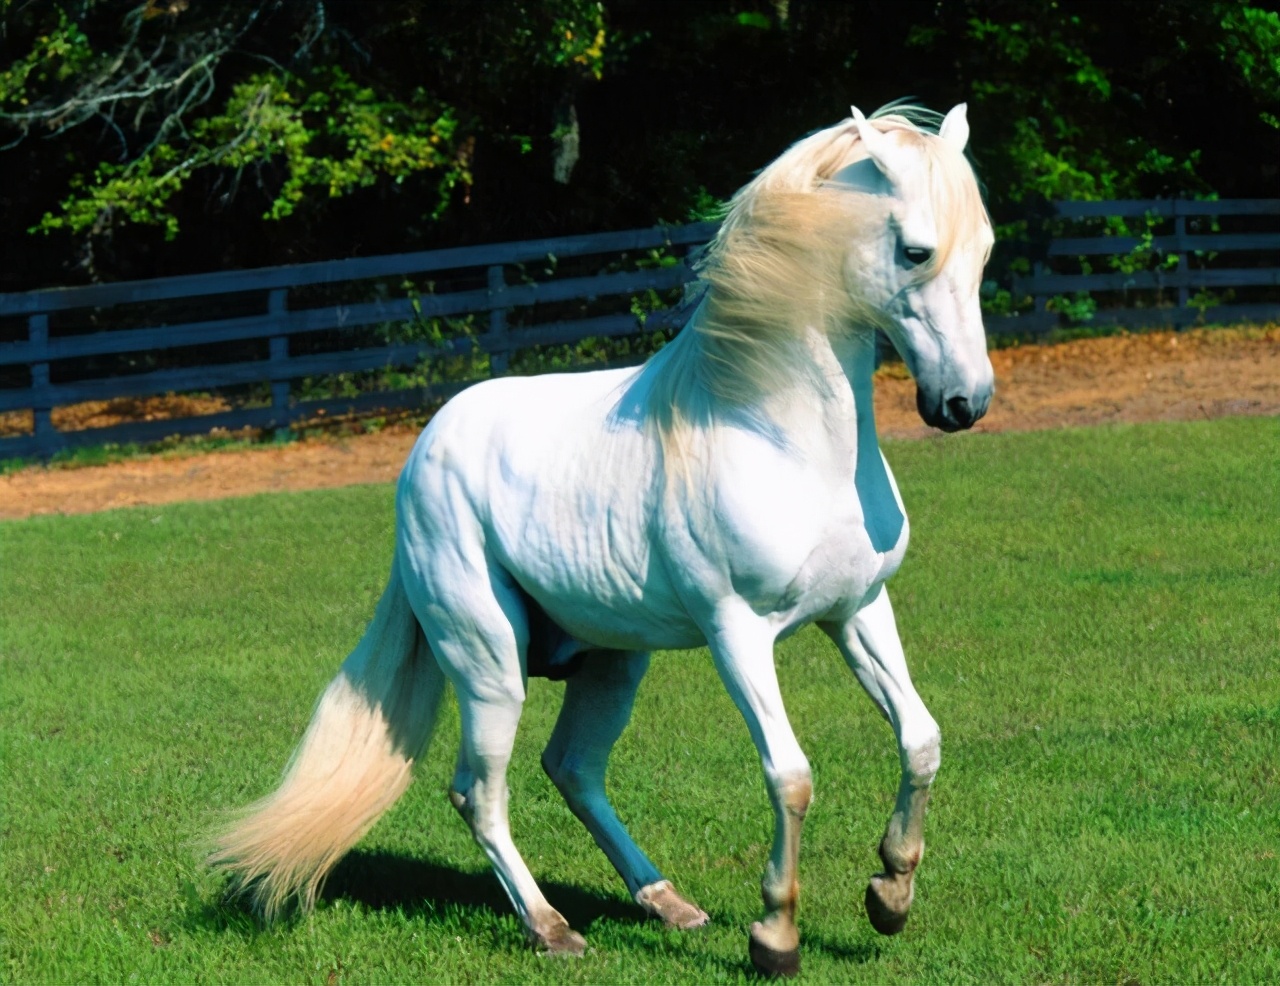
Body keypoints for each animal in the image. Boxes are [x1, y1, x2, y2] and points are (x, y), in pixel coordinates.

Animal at [210, 101, 995, 977]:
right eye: (915, 250)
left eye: (985, 248)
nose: (964, 404)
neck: (780, 439)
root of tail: (426, 450)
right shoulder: (738, 634)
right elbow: (789, 775)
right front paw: (775, 937)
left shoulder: (857, 610)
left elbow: (920, 740)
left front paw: (888, 896)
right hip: (489, 665)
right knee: (479, 791)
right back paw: (551, 928)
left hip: (614, 662)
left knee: (573, 768)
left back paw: (668, 905)